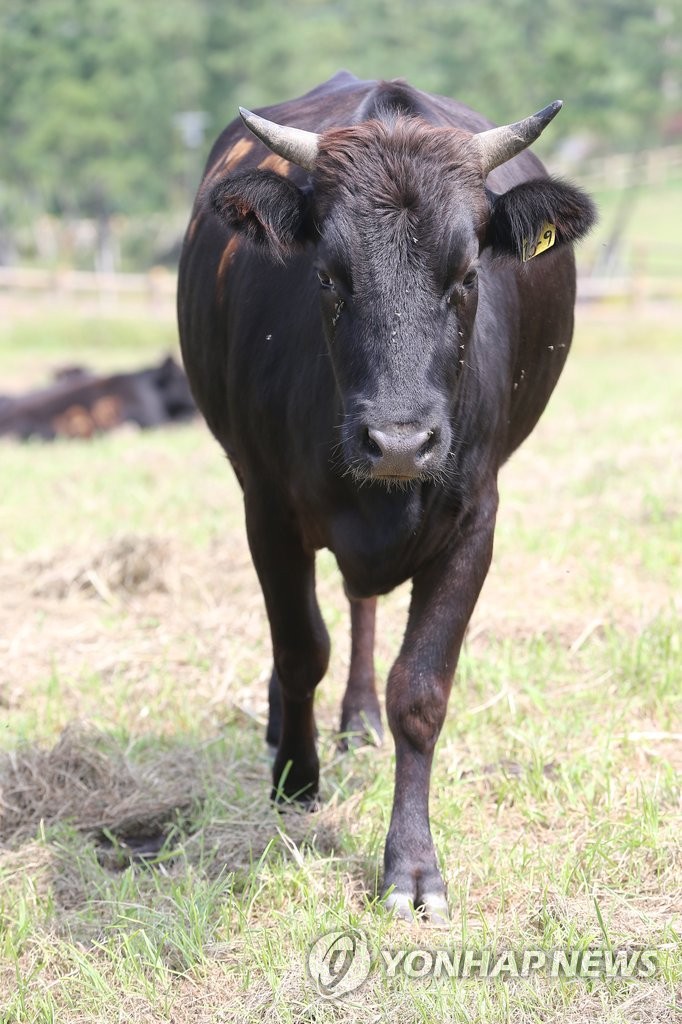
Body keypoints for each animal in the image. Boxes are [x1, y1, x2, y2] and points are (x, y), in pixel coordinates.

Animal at [176, 70, 593, 921]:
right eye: (328, 278)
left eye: (467, 275)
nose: (398, 442)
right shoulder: (267, 509)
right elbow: (301, 648)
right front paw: (296, 781)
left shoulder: (475, 522)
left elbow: (421, 692)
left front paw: (411, 866)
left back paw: (359, 718)